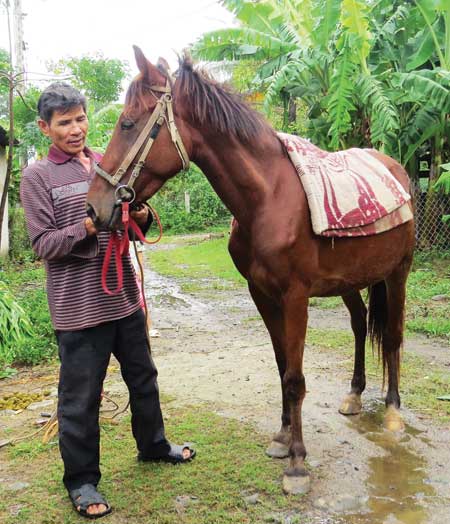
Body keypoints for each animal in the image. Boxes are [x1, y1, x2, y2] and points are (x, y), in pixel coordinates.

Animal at [86, 47, 416, 494]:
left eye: (128, 123)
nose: (94, 207)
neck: (269, 199)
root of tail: (393, 169)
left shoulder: (295, 298)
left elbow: (295, 377)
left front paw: (297, 463)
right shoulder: (261, 293)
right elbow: (281, 365)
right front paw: (283, 438)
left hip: (398, 273)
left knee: (394, 336)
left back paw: (394, 411)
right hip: (350, 280)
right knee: (361, 325)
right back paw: (354, 394)